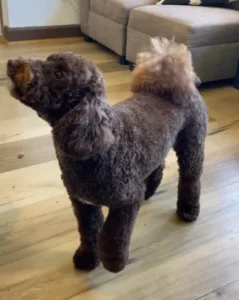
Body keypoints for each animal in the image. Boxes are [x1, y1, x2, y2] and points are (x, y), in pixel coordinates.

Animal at [7, 37, 207, 272]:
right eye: (47, 60)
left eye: (59, 74)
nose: (11, 63)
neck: (98, 150)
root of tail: (181, 84)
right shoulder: (82, 203)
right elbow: (89, 231)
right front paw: (87, 257)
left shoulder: (126, 201)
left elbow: (113, 235)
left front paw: (114, 261)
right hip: (159, 146)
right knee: (157, 166)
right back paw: (150, 190)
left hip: (192, 143)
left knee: (190, 177)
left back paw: (188, 210)